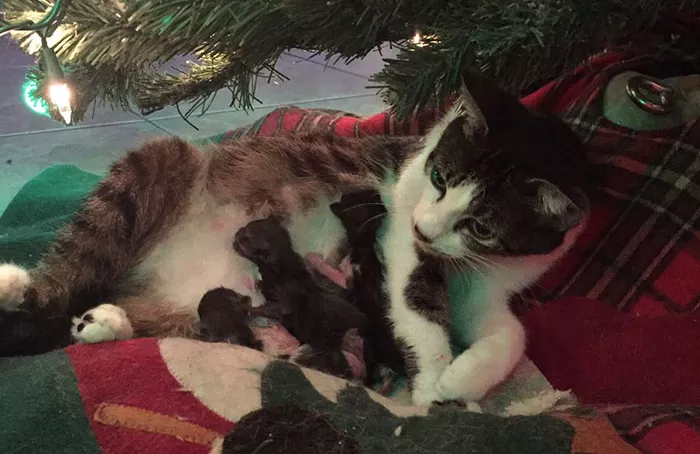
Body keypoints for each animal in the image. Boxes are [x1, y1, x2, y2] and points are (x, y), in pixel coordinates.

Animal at [0, 72, 592, 406]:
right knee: (62, 280)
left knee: (134, 315)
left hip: (192, 309)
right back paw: (18, 286)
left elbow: (511, 334)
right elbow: (417, 299)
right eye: (441, 178)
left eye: (483, 226)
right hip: (153, 166)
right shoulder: (398, 225)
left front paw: (462, 380)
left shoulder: (491, 281)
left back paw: (103, 323)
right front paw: (430, 382)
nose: (427, 228)